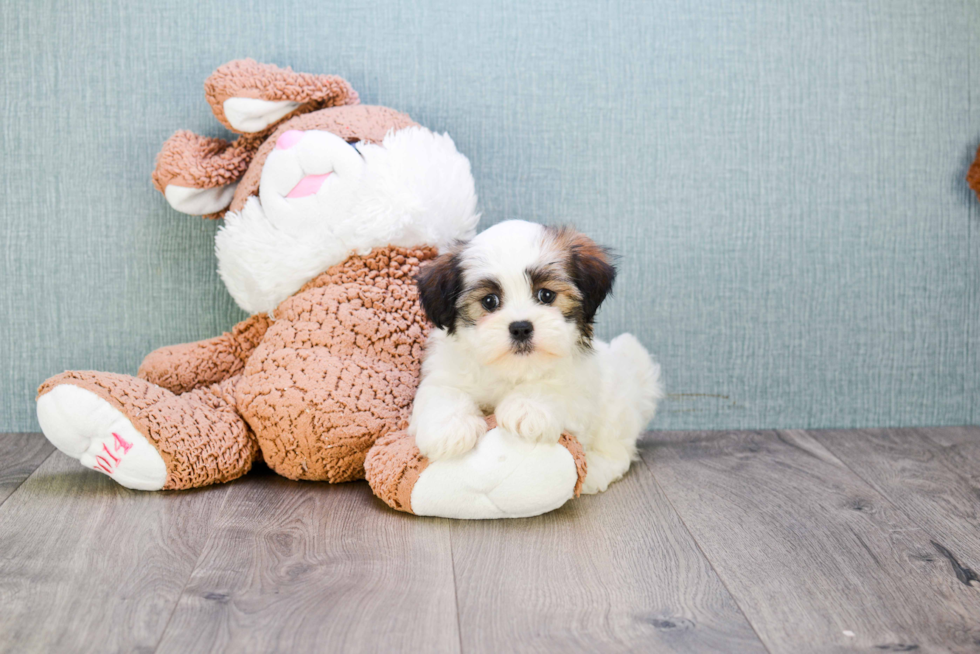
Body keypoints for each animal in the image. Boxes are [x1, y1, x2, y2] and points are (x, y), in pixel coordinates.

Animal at [410, 220, 664, 498]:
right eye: (489, 301)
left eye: (546, 295)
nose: (521, 327)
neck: (513, 369)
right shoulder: (446, 370)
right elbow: (445, 392)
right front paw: (449, 430)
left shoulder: (579, 383)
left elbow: (552, 387)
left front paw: (526, 408)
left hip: (617, 406)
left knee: (618, 448)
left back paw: (596, 470)